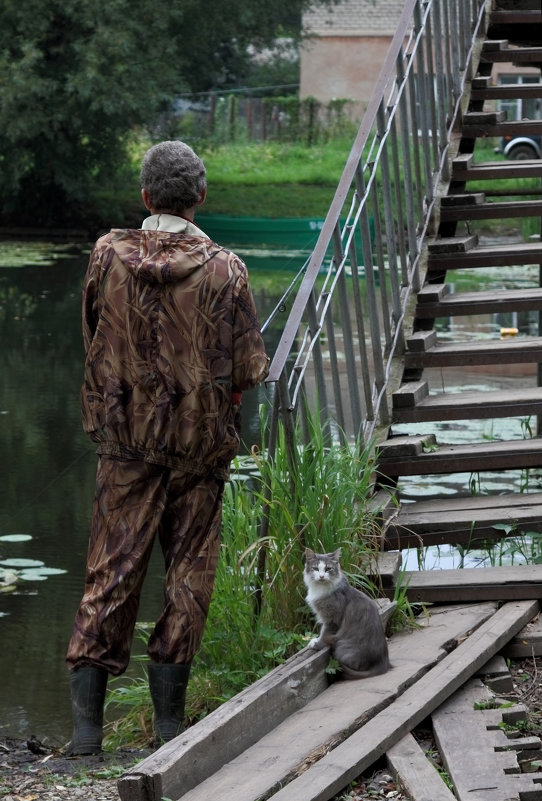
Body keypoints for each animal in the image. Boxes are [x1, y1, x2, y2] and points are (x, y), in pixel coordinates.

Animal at [306, 548, 392, 680]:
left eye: (328, 569)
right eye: (315, 568)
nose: (321, 576)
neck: (320, 589)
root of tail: (383, 662)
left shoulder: (332, 618)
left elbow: (324, 633)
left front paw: (316, 644)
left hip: (342, 648)